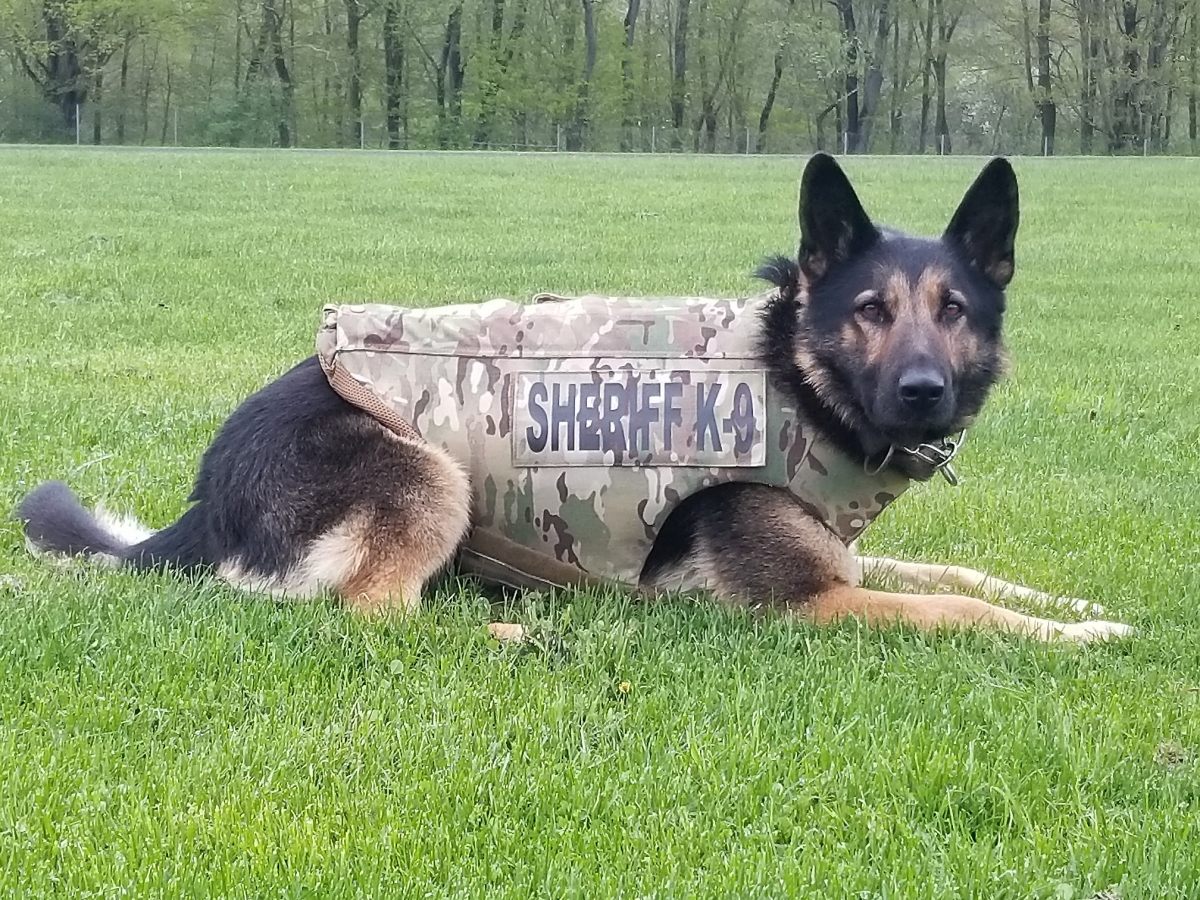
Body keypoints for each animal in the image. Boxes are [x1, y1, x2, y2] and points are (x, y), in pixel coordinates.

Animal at [14, 158, 1128, 643]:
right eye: (870, 311)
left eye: (954, 309)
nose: (924, 392)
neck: (795, 372)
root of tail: (207, 498)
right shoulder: (814, 602)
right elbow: (954, 603)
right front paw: (1079, 638)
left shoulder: (840, 553)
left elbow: (962, 570)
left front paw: (1076, 602)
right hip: (430, 472)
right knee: (371, 617)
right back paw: (507, 637)